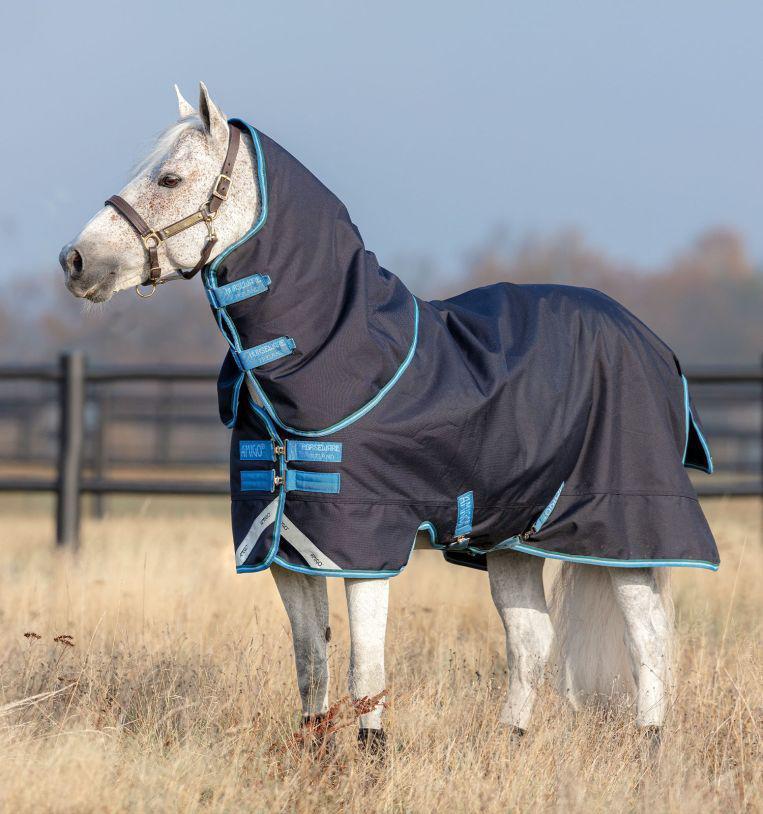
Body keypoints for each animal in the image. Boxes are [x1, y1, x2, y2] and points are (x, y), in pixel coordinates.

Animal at [59, 82, 718, 751]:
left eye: (169, 179)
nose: (76, 260)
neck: (341, 356)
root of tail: (652, 342)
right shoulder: (286, 548)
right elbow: (310, 660)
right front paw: (315, 753)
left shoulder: (363, 546)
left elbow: (365, 669)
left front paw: (371, 757)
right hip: (513, 538)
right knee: (531, 640)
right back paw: (511, 740)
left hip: (630, 530)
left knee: (649, 639)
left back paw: (649, 745)